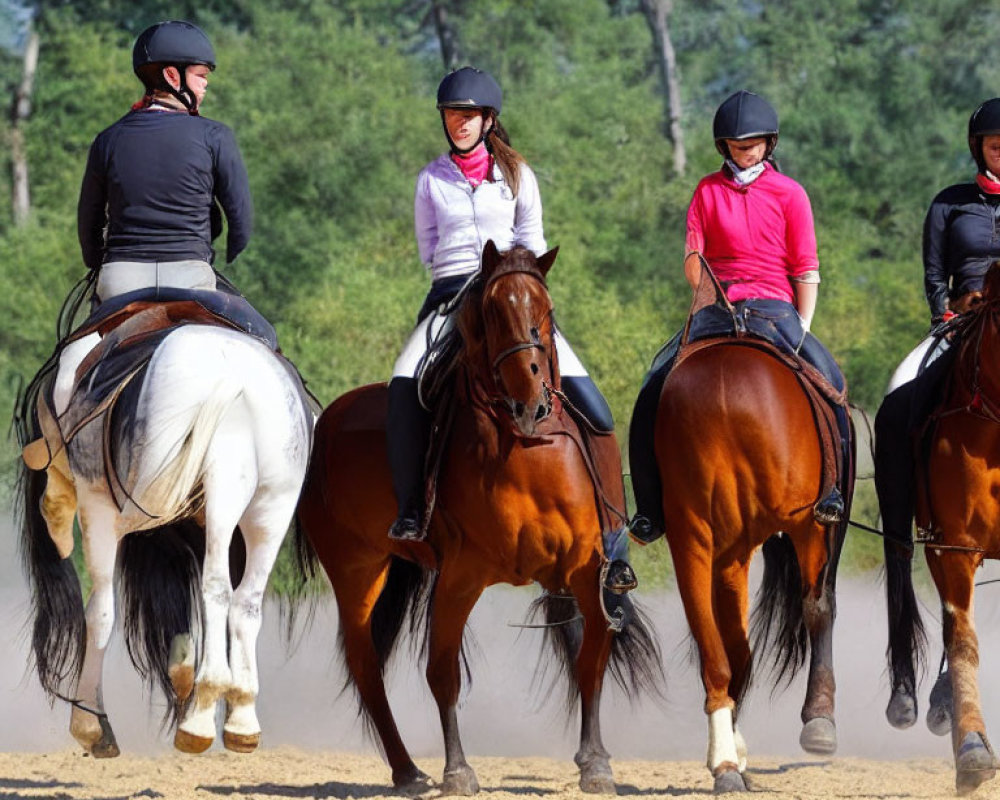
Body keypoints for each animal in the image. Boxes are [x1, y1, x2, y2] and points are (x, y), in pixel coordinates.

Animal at [16, 316, 312, 760]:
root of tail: (233, 375)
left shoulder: (104, 506)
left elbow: (100, 611)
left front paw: (91, 725)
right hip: (269, 507)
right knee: (245, 600)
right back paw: (238, 717)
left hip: (159, 499)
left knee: (213, 589)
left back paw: (200, 714)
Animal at [292, 242, 660, 792]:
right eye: (491, 314)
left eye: (546, 312)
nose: (531, 402)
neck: (527, 450)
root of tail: (326, 418)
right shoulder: (461, 577)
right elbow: (442, 672)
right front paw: (458, 771)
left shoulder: (583, 570)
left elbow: (589, 660)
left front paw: (596, 764)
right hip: (355, 569)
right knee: (365, 664)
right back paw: (407, 772)